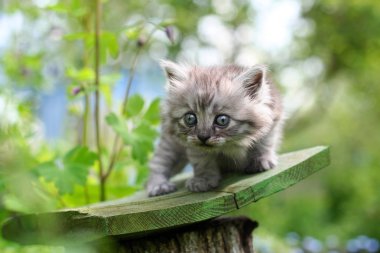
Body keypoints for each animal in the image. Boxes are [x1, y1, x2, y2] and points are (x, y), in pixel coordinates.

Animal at [147, 60, 284, 197]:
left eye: (222, 120)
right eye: (190, 118)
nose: (203, 137)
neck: (230, 144)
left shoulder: (273, 116)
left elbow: (265, 142)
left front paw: (262, 160)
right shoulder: (192, 143)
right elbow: (202, 160)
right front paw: (203, 179)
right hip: (170, 141)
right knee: (159, 162)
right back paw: (158, 185)